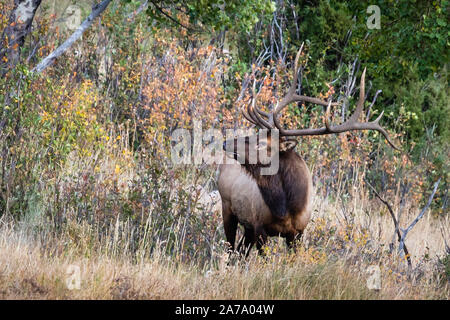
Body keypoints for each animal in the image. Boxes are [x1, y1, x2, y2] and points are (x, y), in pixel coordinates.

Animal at [218, 47, 398, 258]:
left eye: (261, 144)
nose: (225, 143)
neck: (287, 207)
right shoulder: (259, 226)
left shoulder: (297, 232)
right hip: (228, 208)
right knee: (231, 249)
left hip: (246, 227)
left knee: (238, 251)